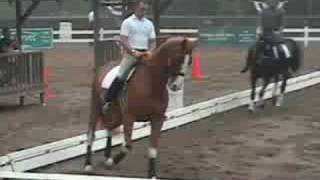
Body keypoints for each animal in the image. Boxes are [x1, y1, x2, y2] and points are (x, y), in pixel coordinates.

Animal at [84, 37, 196, 179]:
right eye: (178, 58)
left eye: (190, 60)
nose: (176, 86)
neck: (151, 82)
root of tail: (103, 67)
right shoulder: (129, 117)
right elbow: (127, 146)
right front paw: (111, 163)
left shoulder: (158, 119)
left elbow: (152, 149)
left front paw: (152, 175)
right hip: (96, 107)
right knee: (91, 134)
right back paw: (88, 165)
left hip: (116, 115)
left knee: (109, 128)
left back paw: (107, 157)